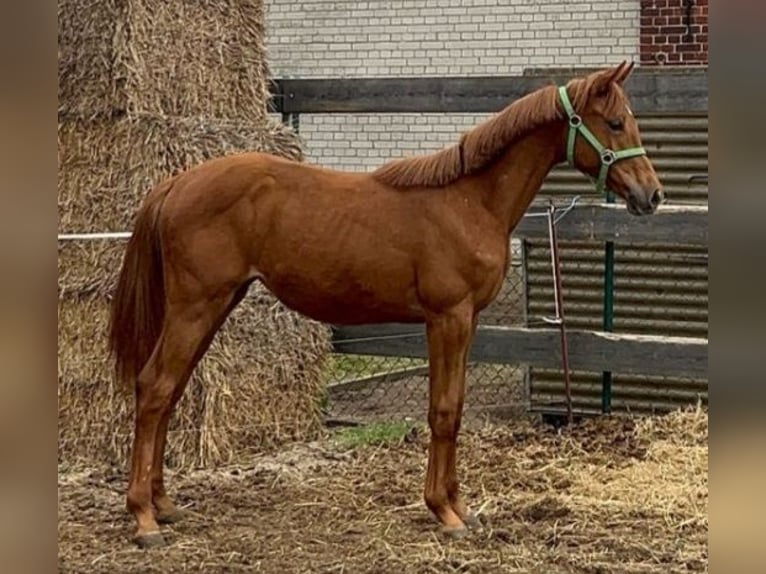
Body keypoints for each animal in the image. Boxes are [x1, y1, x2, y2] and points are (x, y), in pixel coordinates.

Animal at [108, 61, 663, 548]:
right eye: (615, 122)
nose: (653, 195)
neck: (469, 201)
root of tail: (175, 183)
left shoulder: (467, 322)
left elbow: (456, 406)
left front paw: (459, 506)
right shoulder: (447, 318)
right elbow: (443, 411)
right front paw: (443, 511)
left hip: (215, 306)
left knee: (170, 392)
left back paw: (164, 504)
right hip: (196, 307)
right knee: (154, 388)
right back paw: (143, 519)